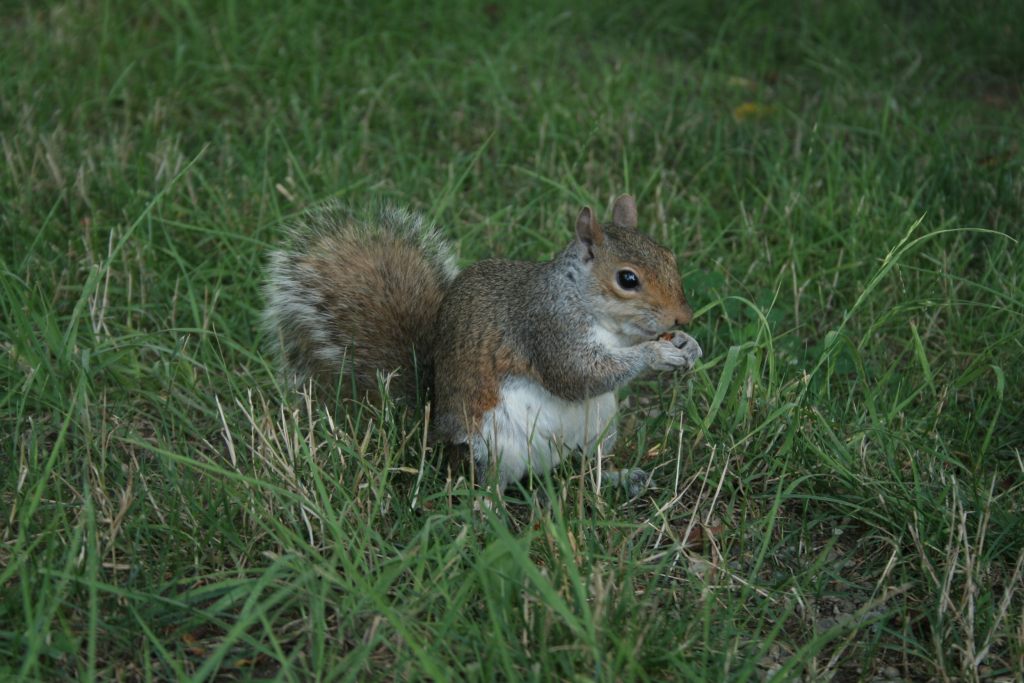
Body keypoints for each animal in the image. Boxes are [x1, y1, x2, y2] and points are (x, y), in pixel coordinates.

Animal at [263, 195, 702, 496]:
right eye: (627, 279)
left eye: (668, 255)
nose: (683, 317)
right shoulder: (545, 328)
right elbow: (576, 374)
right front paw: (655, 353)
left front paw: (688, 345)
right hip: (491, 444)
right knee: (492, 483)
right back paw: (489, 513)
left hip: (599, 429)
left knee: (580, 470)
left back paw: (617, 477)